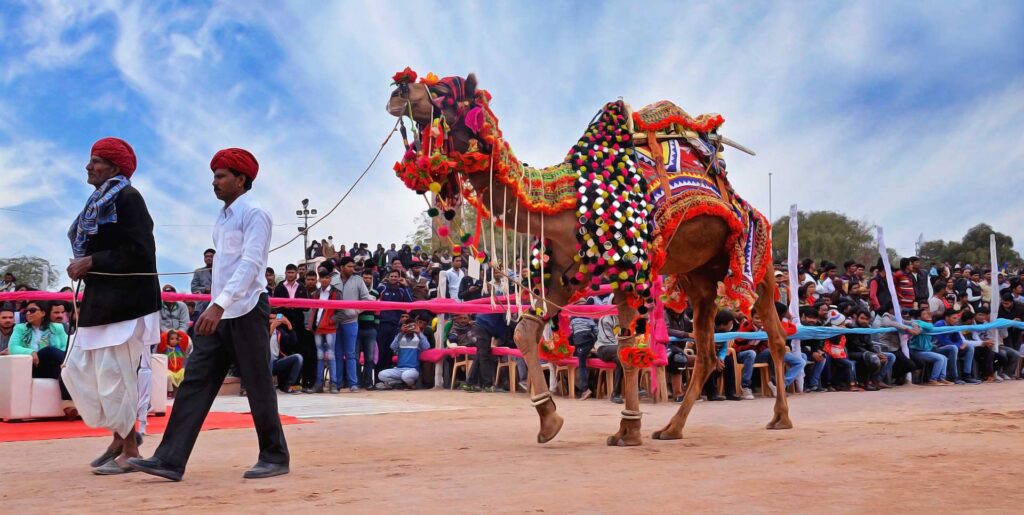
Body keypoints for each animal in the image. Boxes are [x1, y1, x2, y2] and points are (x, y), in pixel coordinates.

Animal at [386, 71, 793, 446]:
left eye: (442, 91)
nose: (397, 91)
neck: (567, 200)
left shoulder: (630, 269)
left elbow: (628, 349)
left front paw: (628, 430)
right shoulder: (566, 274)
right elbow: (524, 331)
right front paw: (549, 419)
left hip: (755, 257)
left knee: (774, 336)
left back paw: (780, 419)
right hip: (700, 278)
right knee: (707, 353)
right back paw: (672, 428)